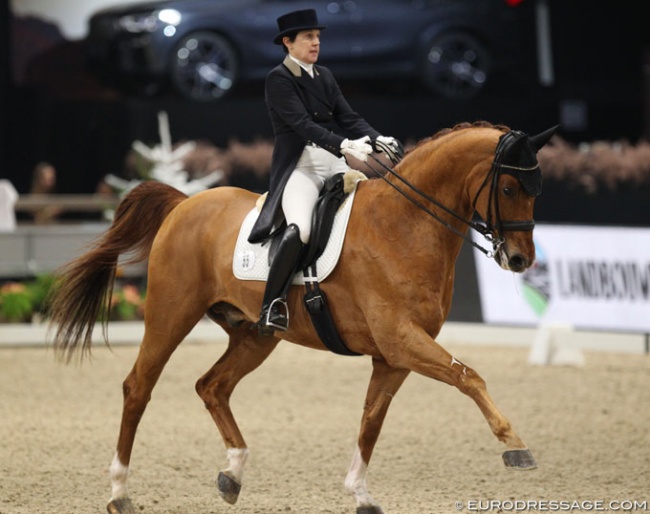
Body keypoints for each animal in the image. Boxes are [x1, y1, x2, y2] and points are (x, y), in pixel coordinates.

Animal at [50, 122, 556, 510]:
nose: (520, 259)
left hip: (255, 335)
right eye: (509, 187)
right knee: (139, 388)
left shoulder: (393, 356)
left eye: (537, 190)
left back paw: (233, 473)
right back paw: (119, 492)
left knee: (212, 386)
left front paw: (360, 494)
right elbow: (469, 376)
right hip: (169, 314)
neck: (405, 224)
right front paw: (516, 446)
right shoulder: (402, 340)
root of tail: (184, 203)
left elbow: (372, 419)